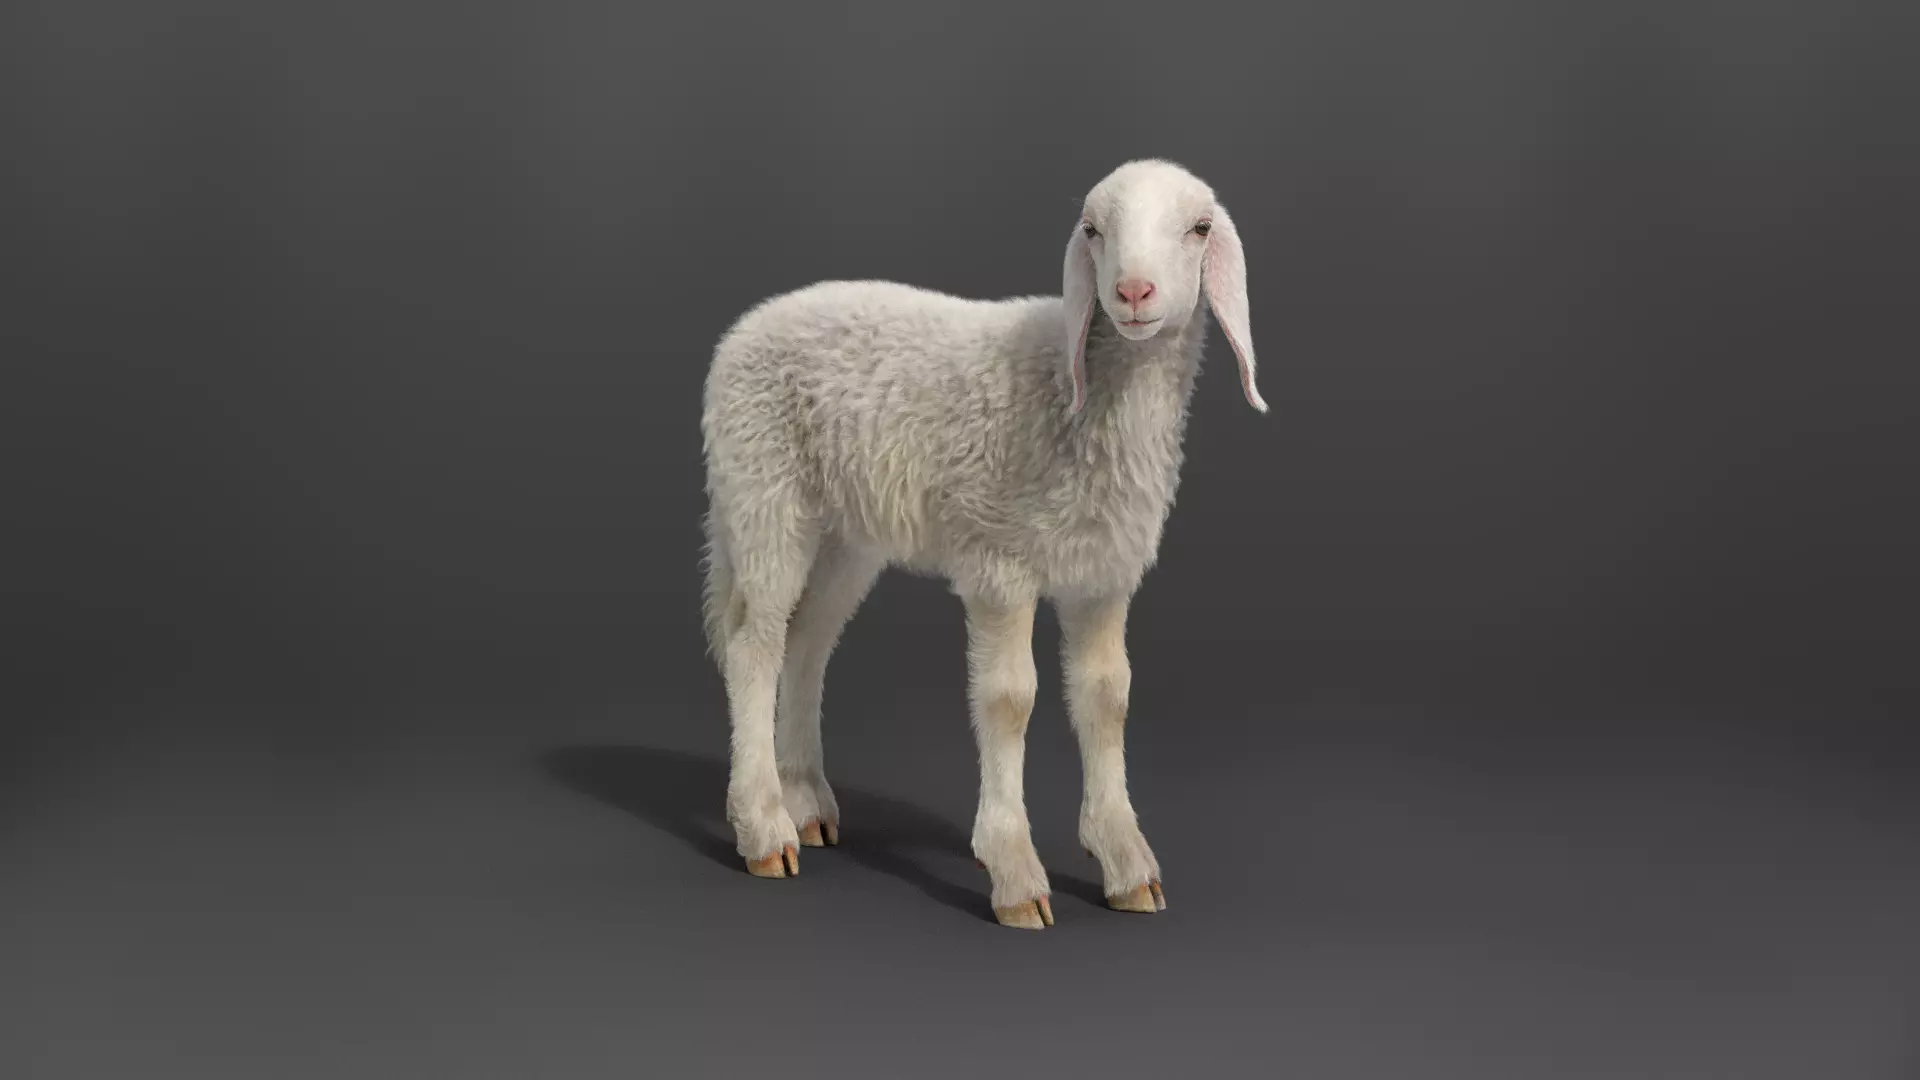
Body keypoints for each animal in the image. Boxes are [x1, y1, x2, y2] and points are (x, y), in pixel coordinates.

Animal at [698, 159, 1268, 929]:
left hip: (847, 529)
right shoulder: (1000, 559)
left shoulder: (1104, 574)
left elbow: (1106, 696)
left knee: (807, 640)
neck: (1075, 392)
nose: (1132, 293)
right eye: (1093, 230)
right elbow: (1008, 699)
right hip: (764, 492)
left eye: (1201, 228)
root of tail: (743, 329)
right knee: (754, 644)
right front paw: (1013, 870)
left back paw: (806, 800)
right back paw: (764, 825)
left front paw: (1125, 862)